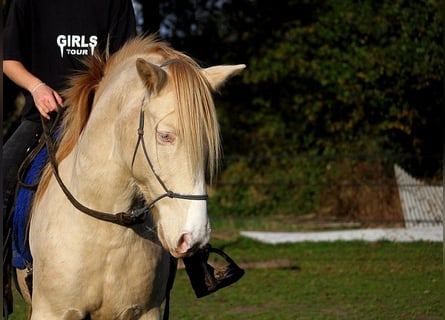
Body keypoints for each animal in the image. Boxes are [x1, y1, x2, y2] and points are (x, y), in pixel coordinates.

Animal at [17, 36, 245, 318]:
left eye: (206, 142)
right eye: (165, 136)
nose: (194, 237)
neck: (107, 229)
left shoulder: (144, 311)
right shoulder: (52, 311)